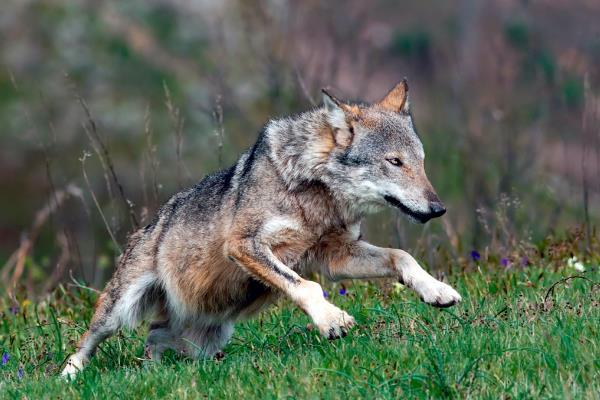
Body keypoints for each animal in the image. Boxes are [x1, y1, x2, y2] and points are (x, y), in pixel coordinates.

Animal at [62, 79, 460, 378]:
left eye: (421, 162)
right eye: (394, 162)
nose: (439, 209)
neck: (314, 196)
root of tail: (148, 225)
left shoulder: (336, 256)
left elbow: (402, 257)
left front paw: (436, 290)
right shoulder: (245, 246)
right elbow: (305, 286)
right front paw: (330, 320)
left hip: (205, 335)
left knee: (156, 344)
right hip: (119, 310)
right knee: (85, 343)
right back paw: (69, 377)